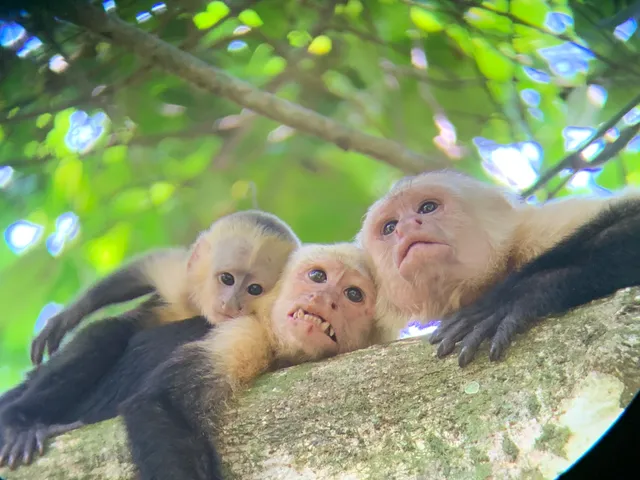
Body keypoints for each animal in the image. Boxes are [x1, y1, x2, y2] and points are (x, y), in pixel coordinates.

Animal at [30, 209, 301, 365]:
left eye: (254, 289)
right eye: (227, 279)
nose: (232, 303)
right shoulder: (180, 281)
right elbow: (141, 270)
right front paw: (68, 317)